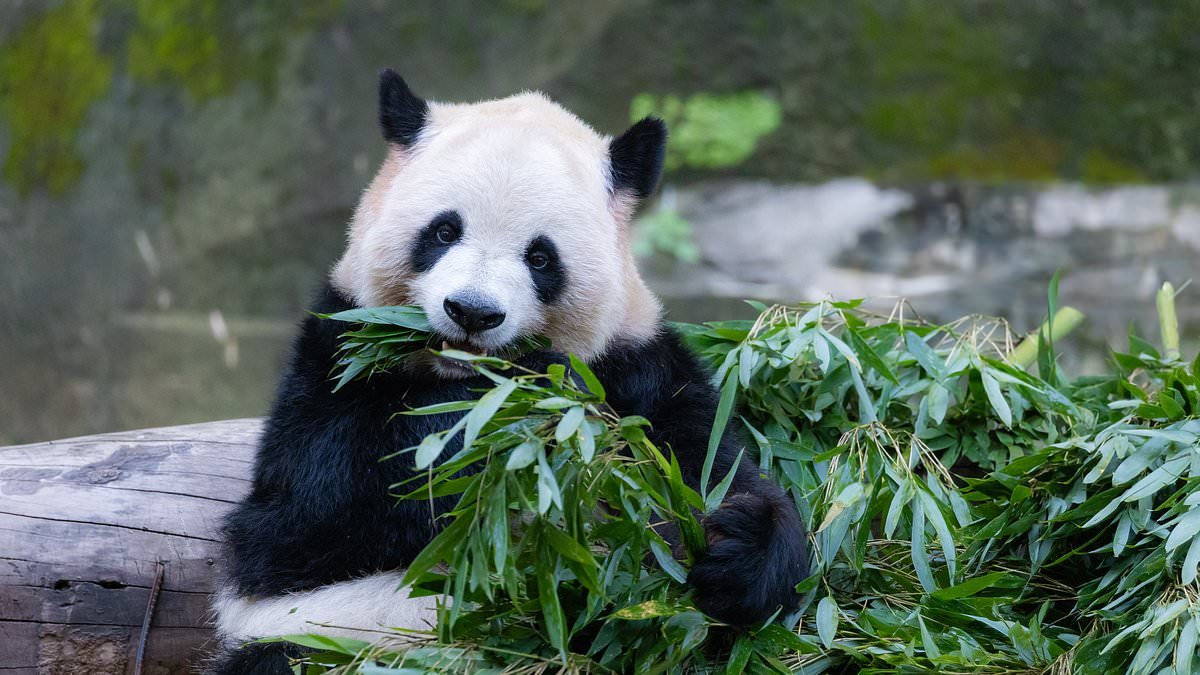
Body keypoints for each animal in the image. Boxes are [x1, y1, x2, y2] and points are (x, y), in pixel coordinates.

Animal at [209, 69, 809, 673]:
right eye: (444, 231)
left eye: (540, 257)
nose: (472, 311)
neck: (459, 375)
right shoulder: (335, 353)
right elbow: (323, 499)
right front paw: (524, 404)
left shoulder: (636, 364)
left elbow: (704, 465)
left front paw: (741, 550)